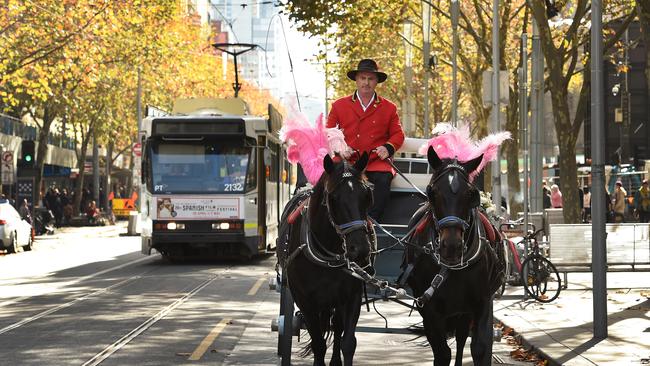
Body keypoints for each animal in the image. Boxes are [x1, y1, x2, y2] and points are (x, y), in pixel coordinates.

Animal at [280, 152, 372, 366]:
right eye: (333, 198)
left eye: (366, 195)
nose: (360, 249)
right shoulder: (306, 302)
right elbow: (319, 344)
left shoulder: (352, 296)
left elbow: (348, 342)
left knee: (336, 326)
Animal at [402, 147, 504, 366]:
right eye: (432, 192)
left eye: (471, 194)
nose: (451, 246)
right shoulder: (430, 310)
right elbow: (442, 353)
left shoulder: (483, 302)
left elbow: (480, 348)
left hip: (463, 312)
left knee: (461, 338)